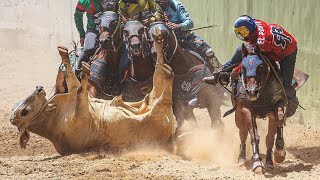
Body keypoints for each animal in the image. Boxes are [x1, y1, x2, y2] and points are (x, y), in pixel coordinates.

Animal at [228, 43, 300, 172]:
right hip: (238, 114)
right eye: (243, 67)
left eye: (260, 66)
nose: (252, 91)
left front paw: (276, 155)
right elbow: (254, 136)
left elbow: (271, 137)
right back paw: (241, 158)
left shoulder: (277, 105)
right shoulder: (247, 110)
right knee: (243, 133)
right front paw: (257, 162)